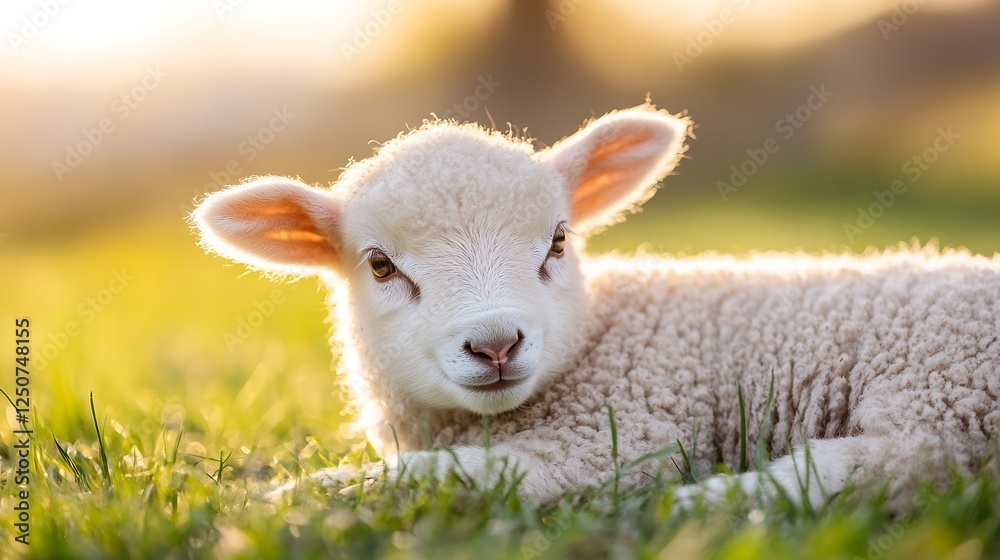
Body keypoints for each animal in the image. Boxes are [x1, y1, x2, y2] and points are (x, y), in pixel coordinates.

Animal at [193, 104, 1000, 509]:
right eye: (380, 264)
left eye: (558, 239)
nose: (496, 345)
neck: (598, 341)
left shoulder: (611, 439)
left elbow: (444, 476)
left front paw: (288, 499)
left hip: (943, 392)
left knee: (902, 464)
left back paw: (714, 499)